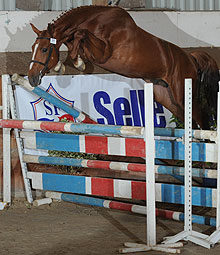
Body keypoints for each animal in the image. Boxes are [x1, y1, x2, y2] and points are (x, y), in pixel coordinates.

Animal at [27, 5, 220, 129]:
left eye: (44, 49)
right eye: (32, 48)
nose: (32, 77)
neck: (96, 21)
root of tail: (191, 58)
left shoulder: (104, 53)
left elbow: (79, 34)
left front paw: (76, 62)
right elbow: (73, 38)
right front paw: (63, 64)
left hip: (182, 92)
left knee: (201, 117)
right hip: (168, 98)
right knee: (190, 120)